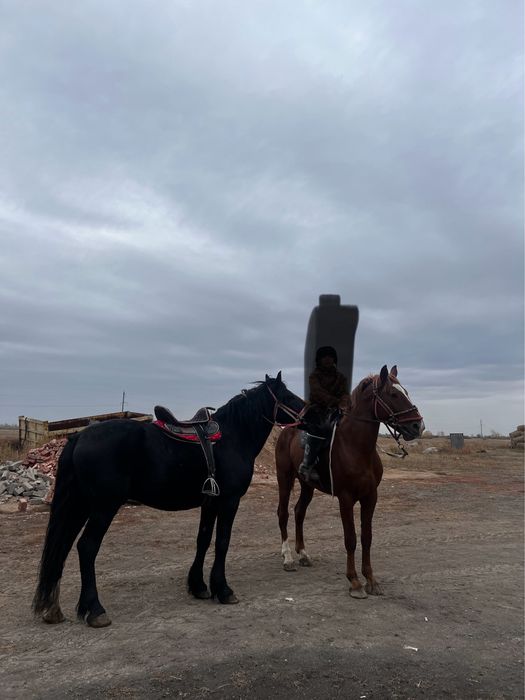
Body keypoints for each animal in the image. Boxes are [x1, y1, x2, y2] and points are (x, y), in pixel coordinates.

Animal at [33, 372, 304, 628]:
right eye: (288, 395)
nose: (308, 412)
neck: (232, 437)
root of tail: (78, 437)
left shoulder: (210, 502)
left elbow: (203, 540)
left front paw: (198, 586)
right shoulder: (229, 500)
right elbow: (222, 542)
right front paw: (223, 590)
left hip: (80, 505)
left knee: (63, 546)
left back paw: (54, 609)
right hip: (103, 507)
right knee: (87, 547)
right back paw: (95, 610)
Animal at [275, 365, 424, 598]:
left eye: (406, 392)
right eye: (393, 394)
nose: (418, 426)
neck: (356, 447)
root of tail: (288, 428)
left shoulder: (370, 497)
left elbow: (367, 537)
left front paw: (371, 579)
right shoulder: (345, 499)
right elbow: (351, 539)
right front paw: (354, 582)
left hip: (307, 485)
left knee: (299, 512)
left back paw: (303, 554)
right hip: (285, 478)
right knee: (283, 513)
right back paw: (288, 557)